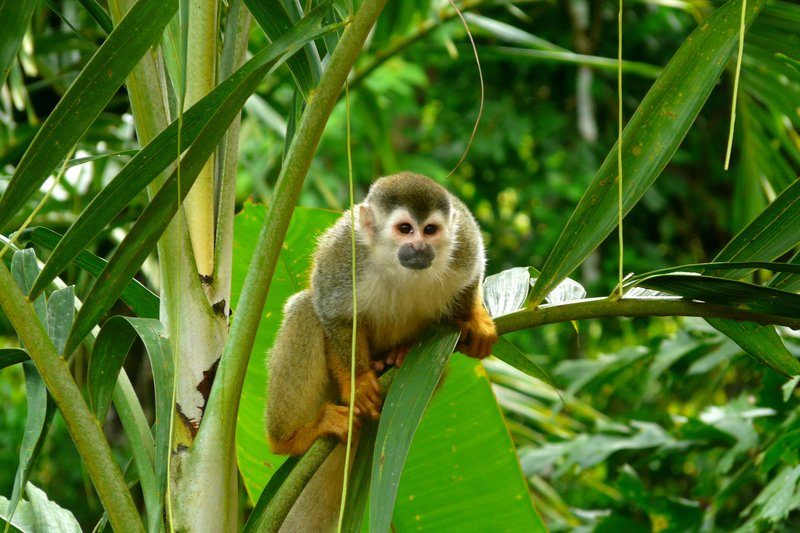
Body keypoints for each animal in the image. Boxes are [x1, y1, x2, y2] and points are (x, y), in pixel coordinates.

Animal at [265, 172, 497, 531]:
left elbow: (473, 272)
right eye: (405, 229)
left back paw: (399, 355)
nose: (420, 247)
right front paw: (358, 381)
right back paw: (292, 437)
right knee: (305, 309)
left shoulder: (465, 241)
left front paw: (473, 317)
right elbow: (332, 312)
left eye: (430, 230)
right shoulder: (346, 254)